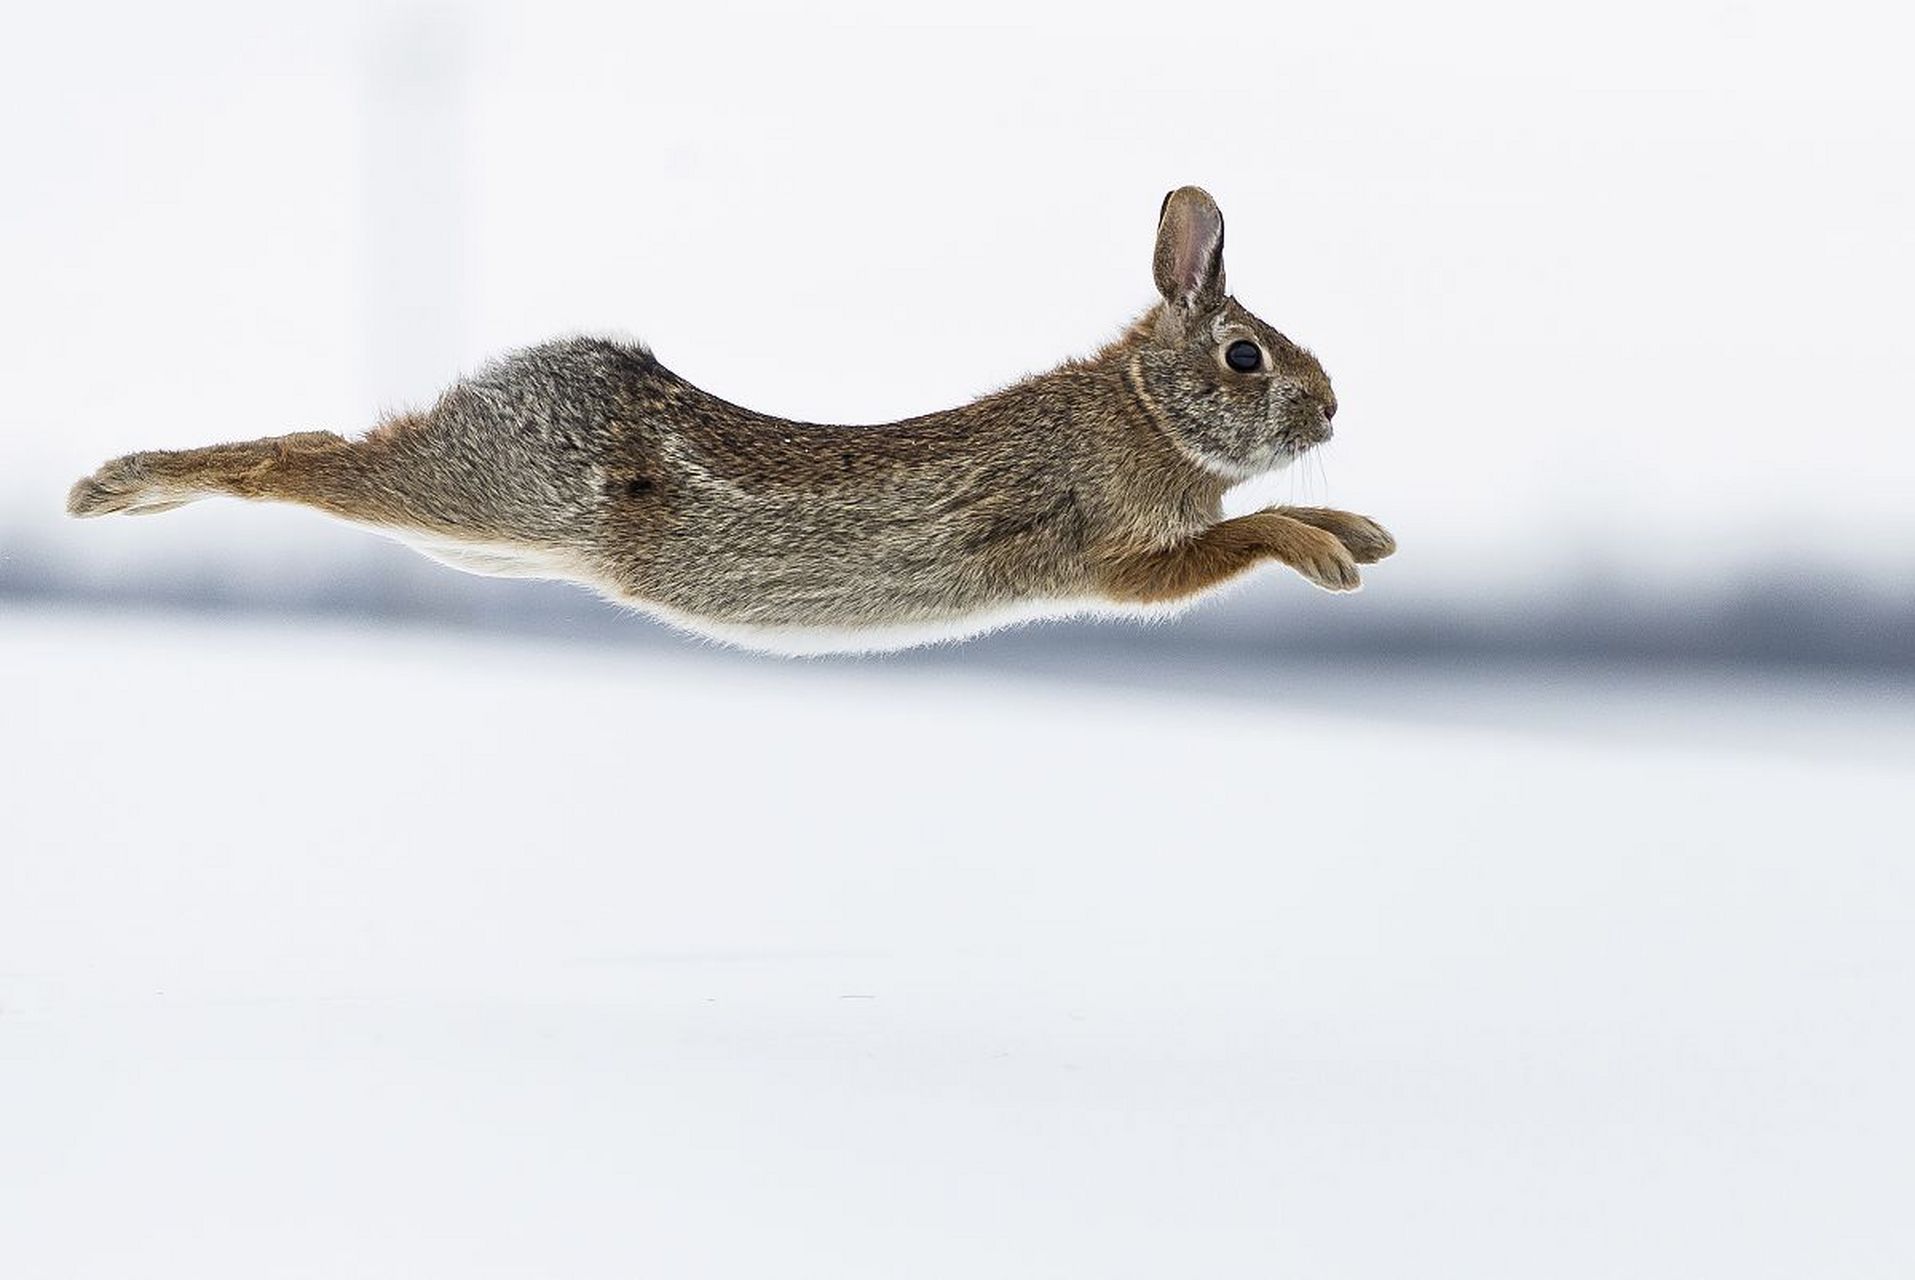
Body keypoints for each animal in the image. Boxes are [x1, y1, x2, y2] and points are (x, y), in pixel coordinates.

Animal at [67, 184, 1394, 655]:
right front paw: (1327, 553)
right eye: (1244, 354)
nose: (1332, 409)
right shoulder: (1111, 555)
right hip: (484, 489)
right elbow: (1243, 534)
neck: (1146, 410)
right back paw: (117, 487)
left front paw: (1364, 536)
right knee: (310, 458)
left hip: (483, 525)